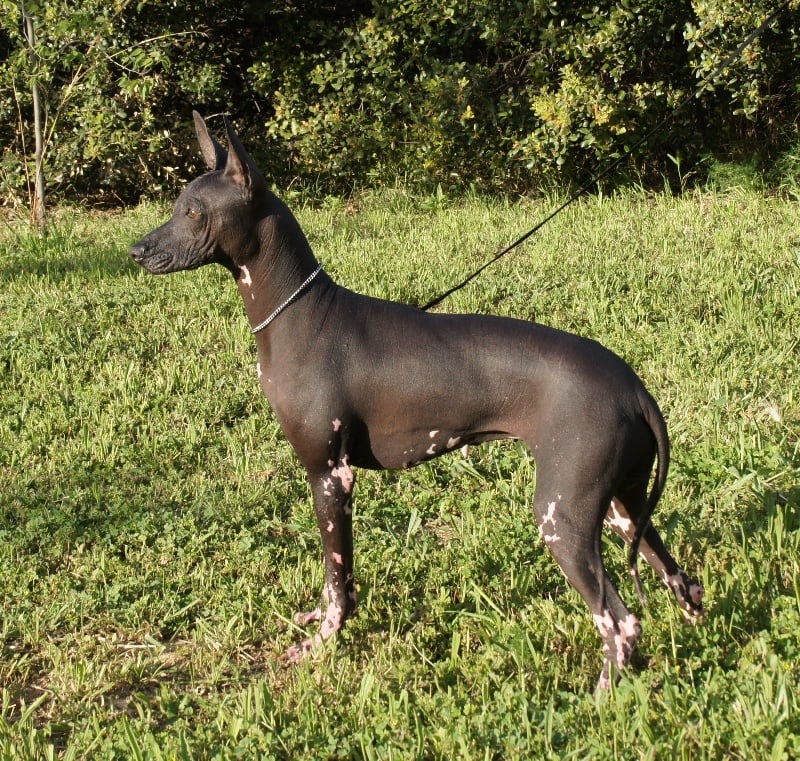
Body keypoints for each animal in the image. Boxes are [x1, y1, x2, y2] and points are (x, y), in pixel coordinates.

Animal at [130, 112, 703, 689]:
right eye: (177, 205)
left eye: (194, 211)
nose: (135, 253)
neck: (301, 315)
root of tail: (632, 387)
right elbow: (333, 581)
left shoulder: (330, 476)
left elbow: (339, 582)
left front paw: (321, 644)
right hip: (622, 505)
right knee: (681, 582)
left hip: (562, 516)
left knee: (620, 620)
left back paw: (601, 696)